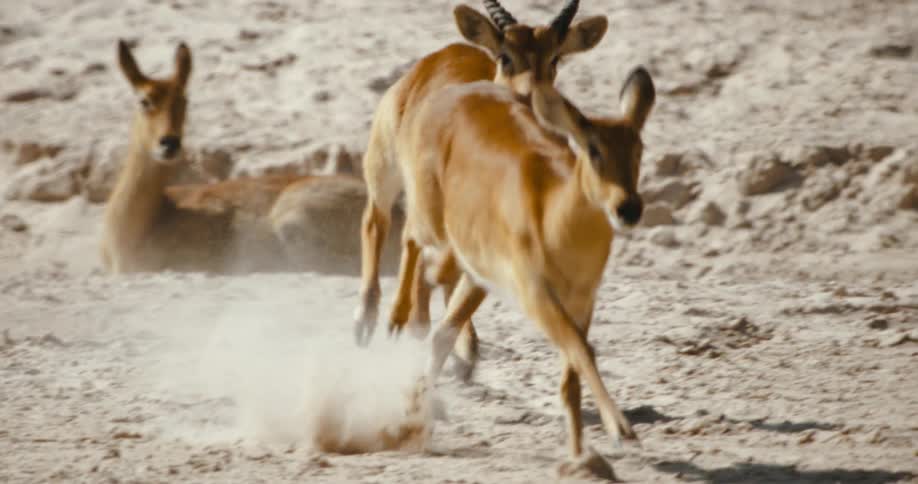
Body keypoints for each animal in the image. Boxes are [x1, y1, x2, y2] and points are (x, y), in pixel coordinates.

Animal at [355, 0, 609, 381]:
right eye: (505, 56)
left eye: (554, 59)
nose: (530, 96)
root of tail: (446, 52)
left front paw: (461, 348)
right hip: (384, 167)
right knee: (379, 223)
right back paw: (374, 322)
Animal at [397, 66, 655, 463]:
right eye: (593, 149)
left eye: (639, 148)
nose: (628, 208)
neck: (556, 221)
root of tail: (444, 95)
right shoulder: (535, 293)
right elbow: (583, 350)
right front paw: (621, 430)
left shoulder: (583, 298)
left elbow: (572, 372)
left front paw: (580, 457)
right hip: (433, 227)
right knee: (413, 246)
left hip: (477, 274)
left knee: (443, 329)